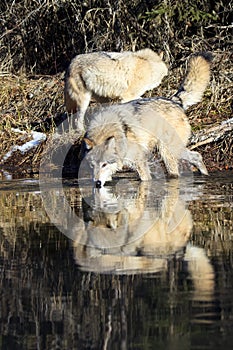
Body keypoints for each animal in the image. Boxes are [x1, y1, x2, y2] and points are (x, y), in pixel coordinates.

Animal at [82, 51, 211, 186]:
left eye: (104, 164)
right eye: (92, 166)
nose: (97, 183)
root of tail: (174, 101)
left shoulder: (139, 161)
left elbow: (145, 180)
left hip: (168, 152)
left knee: (185, 165)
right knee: (196, 156)